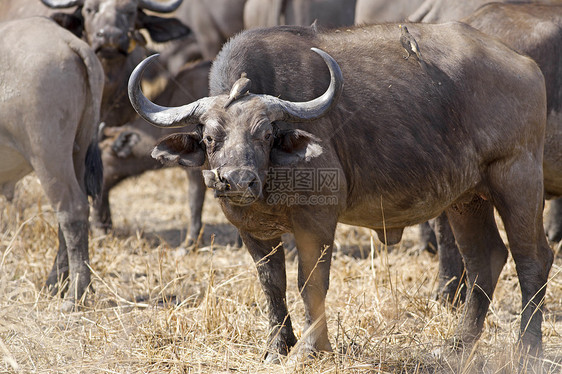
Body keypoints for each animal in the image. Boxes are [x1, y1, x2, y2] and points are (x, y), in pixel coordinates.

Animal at [0, 16, 104, 312]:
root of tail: (66, 40)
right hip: (76, 155)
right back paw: (56, 285)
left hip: (48, 155)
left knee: (72, 210)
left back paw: (74, 295)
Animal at [129, 23, 548, 360]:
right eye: (210, 138)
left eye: (264, 134)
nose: (236, 181)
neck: (273, 173)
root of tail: (527, 67)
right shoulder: (250, 229)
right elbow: (272, 283)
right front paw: (278, 346)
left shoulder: (317, 220)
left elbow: (310, 281)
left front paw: (313, 348)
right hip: (467, 199)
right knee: (485, 261)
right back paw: (457, 347)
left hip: (517, 178)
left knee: (533, 259)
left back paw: (527, 350)